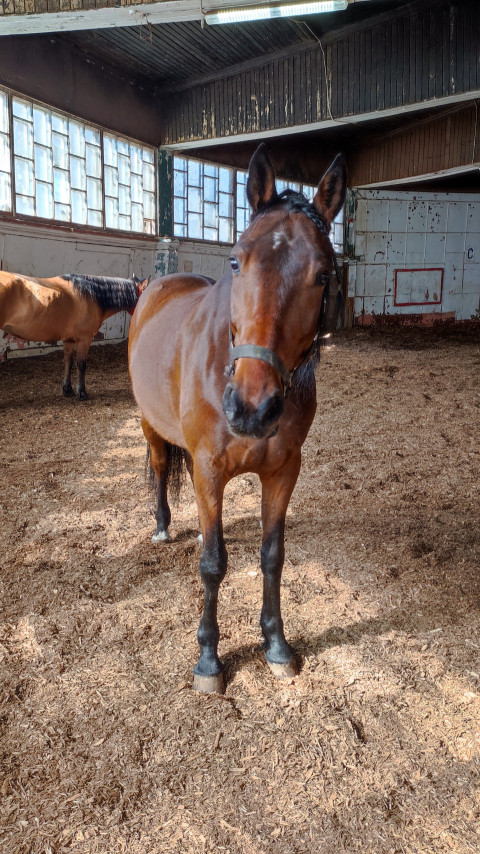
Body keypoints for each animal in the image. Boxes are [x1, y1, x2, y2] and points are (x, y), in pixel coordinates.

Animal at [0, 272, 148, 399]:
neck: (91, 294)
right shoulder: (85, 339)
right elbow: (81, 364)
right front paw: (82, 392)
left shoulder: (69, 339)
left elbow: (68, 362)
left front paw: (67, 389)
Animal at [128, 143, 347, 693]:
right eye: (235, 260)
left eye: (323, 274)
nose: (251, 406)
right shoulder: (210, 471)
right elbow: (213, 563)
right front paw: (209, 658)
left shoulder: (283, 471)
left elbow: (272, 557)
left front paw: (276, 644)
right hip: (149, 424)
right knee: (160, 468)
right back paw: (162, 526)